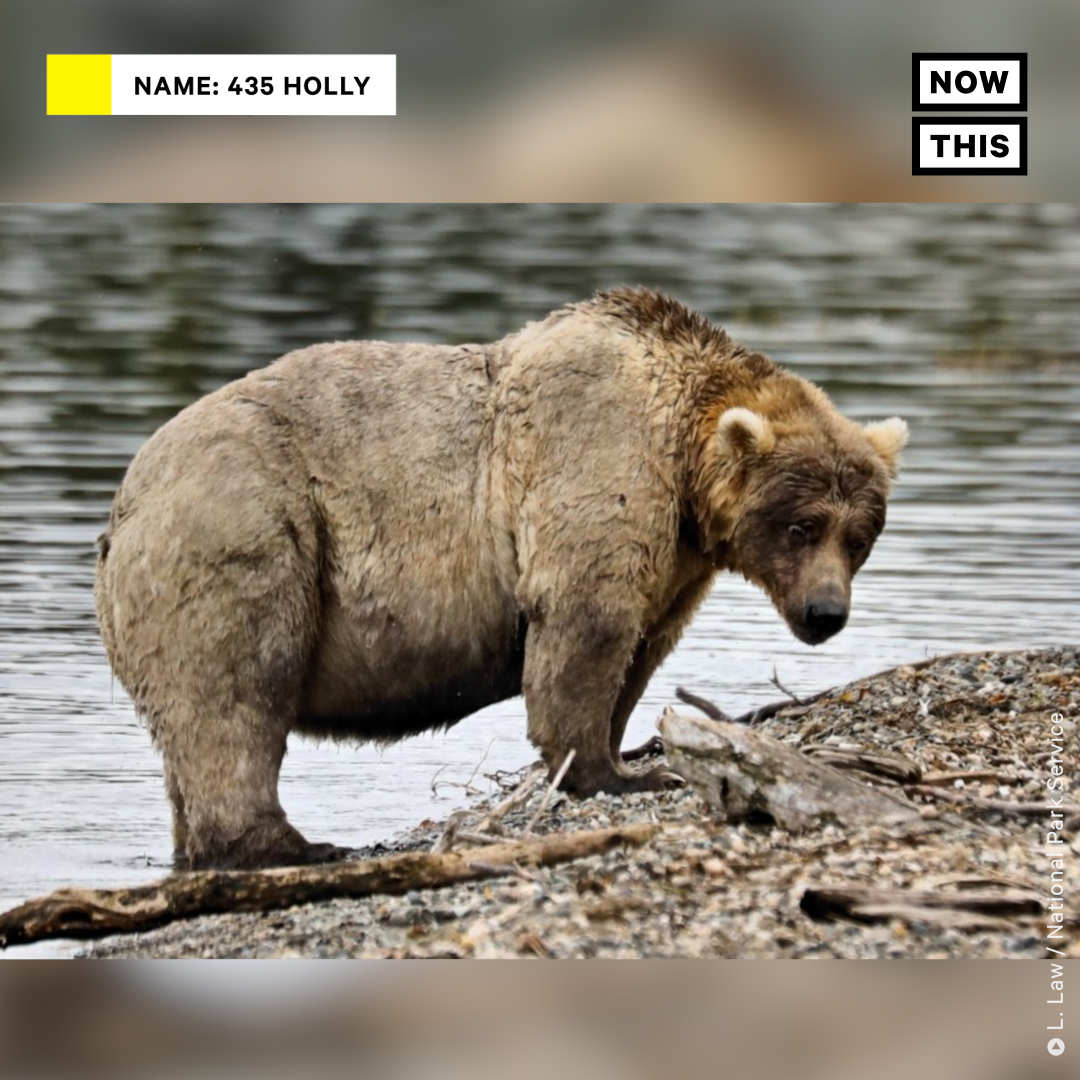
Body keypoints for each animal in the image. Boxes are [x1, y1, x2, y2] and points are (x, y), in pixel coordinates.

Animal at [94, 288, 908, 870]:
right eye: (801, 525)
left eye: (860, 535)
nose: (826, 612)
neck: (683, 466)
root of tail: (124, 502)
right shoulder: (596, 455)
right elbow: (586, 621)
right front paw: (613, 771)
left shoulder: (677, 559)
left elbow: (641, 645)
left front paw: (626, 751)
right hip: (245, 532)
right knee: (236, 694)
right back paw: (290, 845)